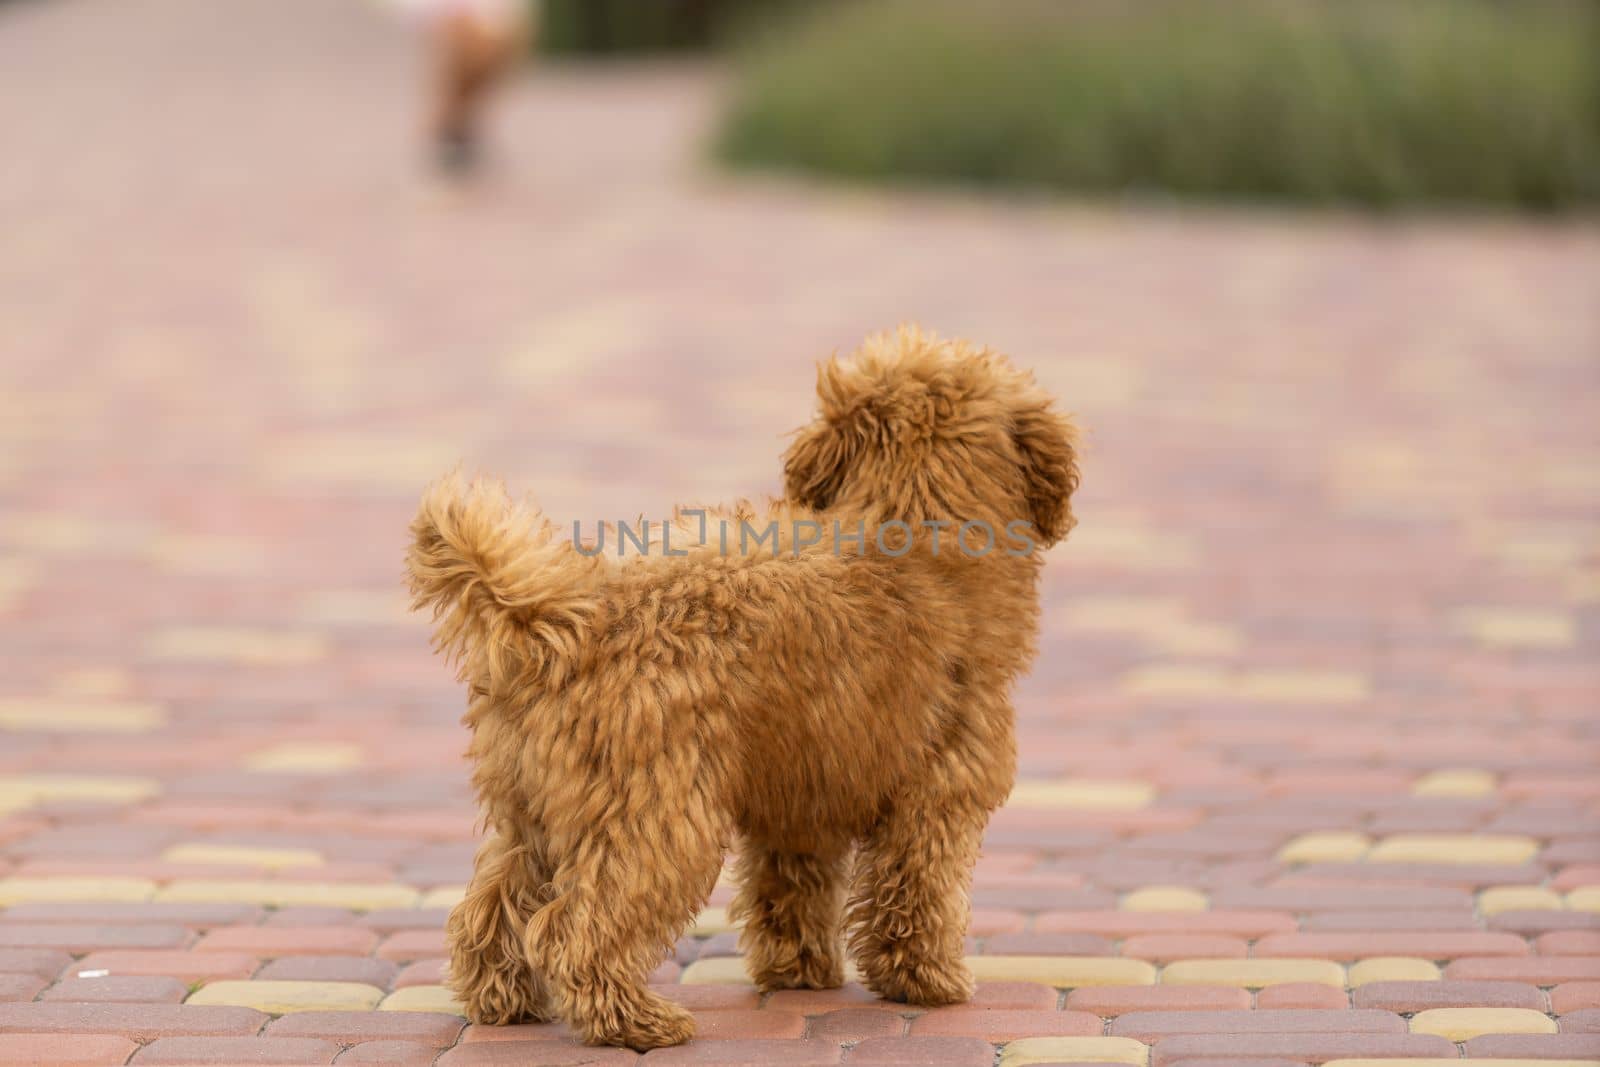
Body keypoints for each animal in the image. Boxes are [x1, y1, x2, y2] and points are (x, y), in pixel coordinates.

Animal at [403, 323, 1075, 1043]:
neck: (916, 527)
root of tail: (560, 619)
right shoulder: (936, 792)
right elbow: (915, 895)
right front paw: (927, 982)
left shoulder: (801, 797)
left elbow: (792, 892)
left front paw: (799, 974)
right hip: (656, 812)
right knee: (581, 925)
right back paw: (635, 1020)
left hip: (534, 806)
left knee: (492, 907)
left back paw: (502, 1002)